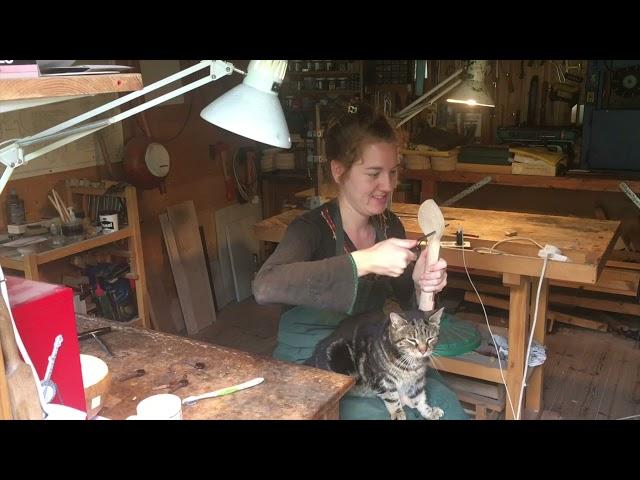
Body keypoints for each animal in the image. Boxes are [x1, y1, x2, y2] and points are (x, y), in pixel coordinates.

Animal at [308, 308, 442, 420]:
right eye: (412, 340)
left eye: (430, 339)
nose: (423, 350)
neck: (411, 364)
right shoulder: (384, 379)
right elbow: (392, 398)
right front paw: (398, 413)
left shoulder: (417, 380)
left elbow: (419, 397)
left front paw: (428, 411)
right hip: (338, 352)